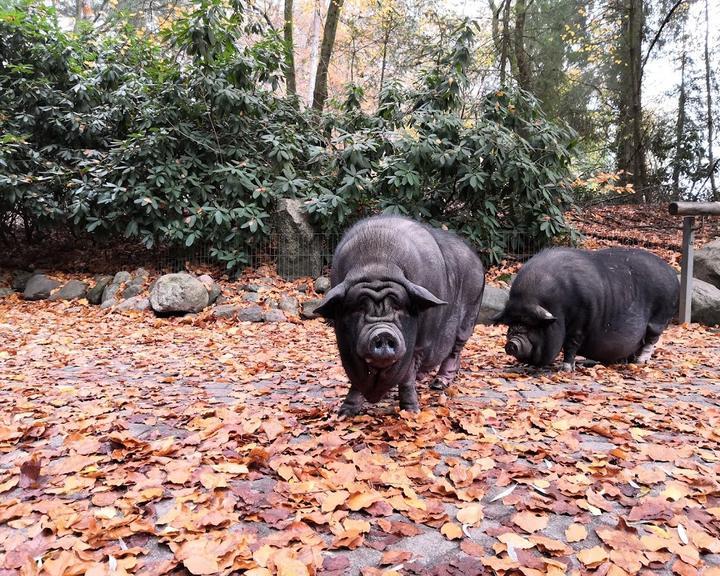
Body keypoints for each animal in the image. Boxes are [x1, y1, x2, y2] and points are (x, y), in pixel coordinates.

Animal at [318, 216, 486, 414]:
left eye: (398, 306)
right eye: (358, 308)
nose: (383, 333)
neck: (377, 264)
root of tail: (476, 257)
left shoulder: (420, 345)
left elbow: (407, 377)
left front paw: (412, 411)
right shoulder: (345, 347)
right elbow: (356, 380)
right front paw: (344, 413)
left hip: (469, 315)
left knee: (455, 350)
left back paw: (438, 384)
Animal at [498, 246, 676, 368]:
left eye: (531, 325)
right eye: (512, 325)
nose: (512, 344)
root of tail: (671, 272)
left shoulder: (581, 321)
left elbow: (571, 345)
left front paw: (566, 369)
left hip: (660, 317)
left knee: (651, 339)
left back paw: (640, 362)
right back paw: (626, 361)